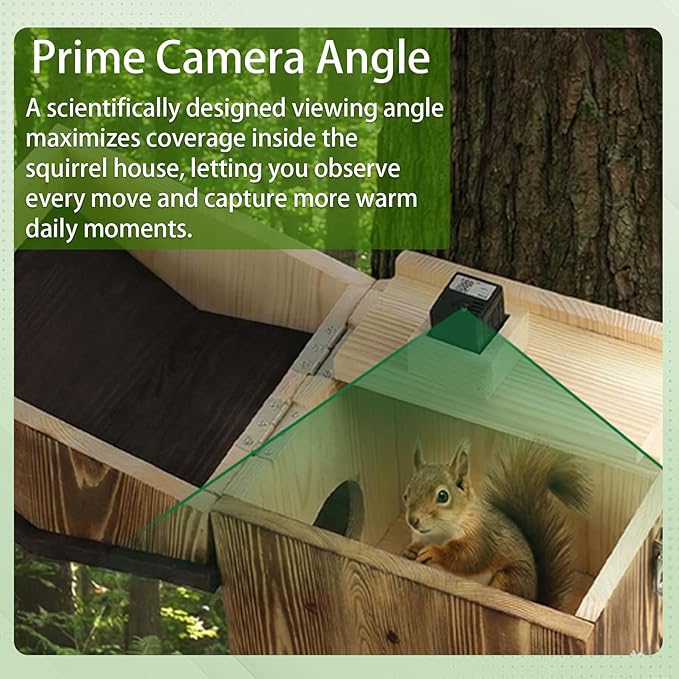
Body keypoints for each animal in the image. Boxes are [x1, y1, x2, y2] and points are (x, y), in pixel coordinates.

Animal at [401, 437, 592, 610]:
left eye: (443, 496)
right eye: (406, 493)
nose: (413, 520)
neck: (438, 534)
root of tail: (535, 600)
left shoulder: (482, 537)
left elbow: (468, 556)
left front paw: (435, 552)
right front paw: (410, 550)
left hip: (510, 579)